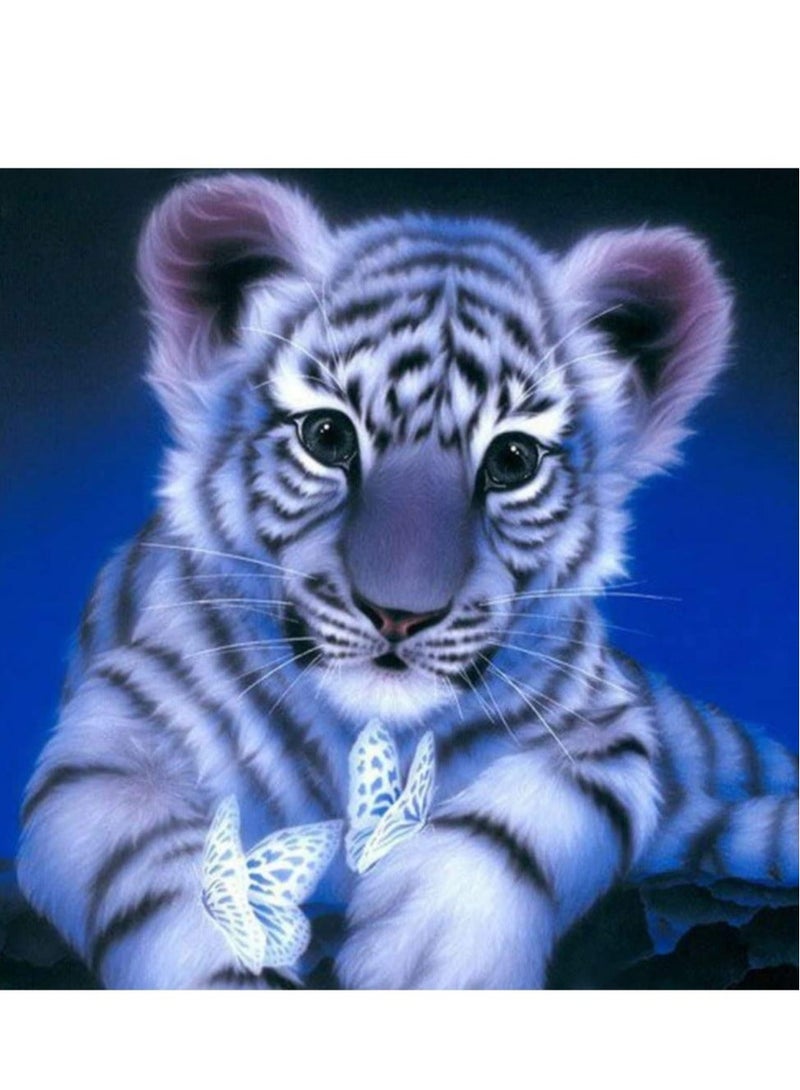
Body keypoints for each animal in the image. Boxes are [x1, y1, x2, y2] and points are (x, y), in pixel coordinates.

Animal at [17, 172, 798, 989]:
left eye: (513, 460)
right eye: (327, 435)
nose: (399, 615)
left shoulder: (604, 727)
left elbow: (520, 820)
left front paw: (430, 953)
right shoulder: (111, 741)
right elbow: (167, 876)